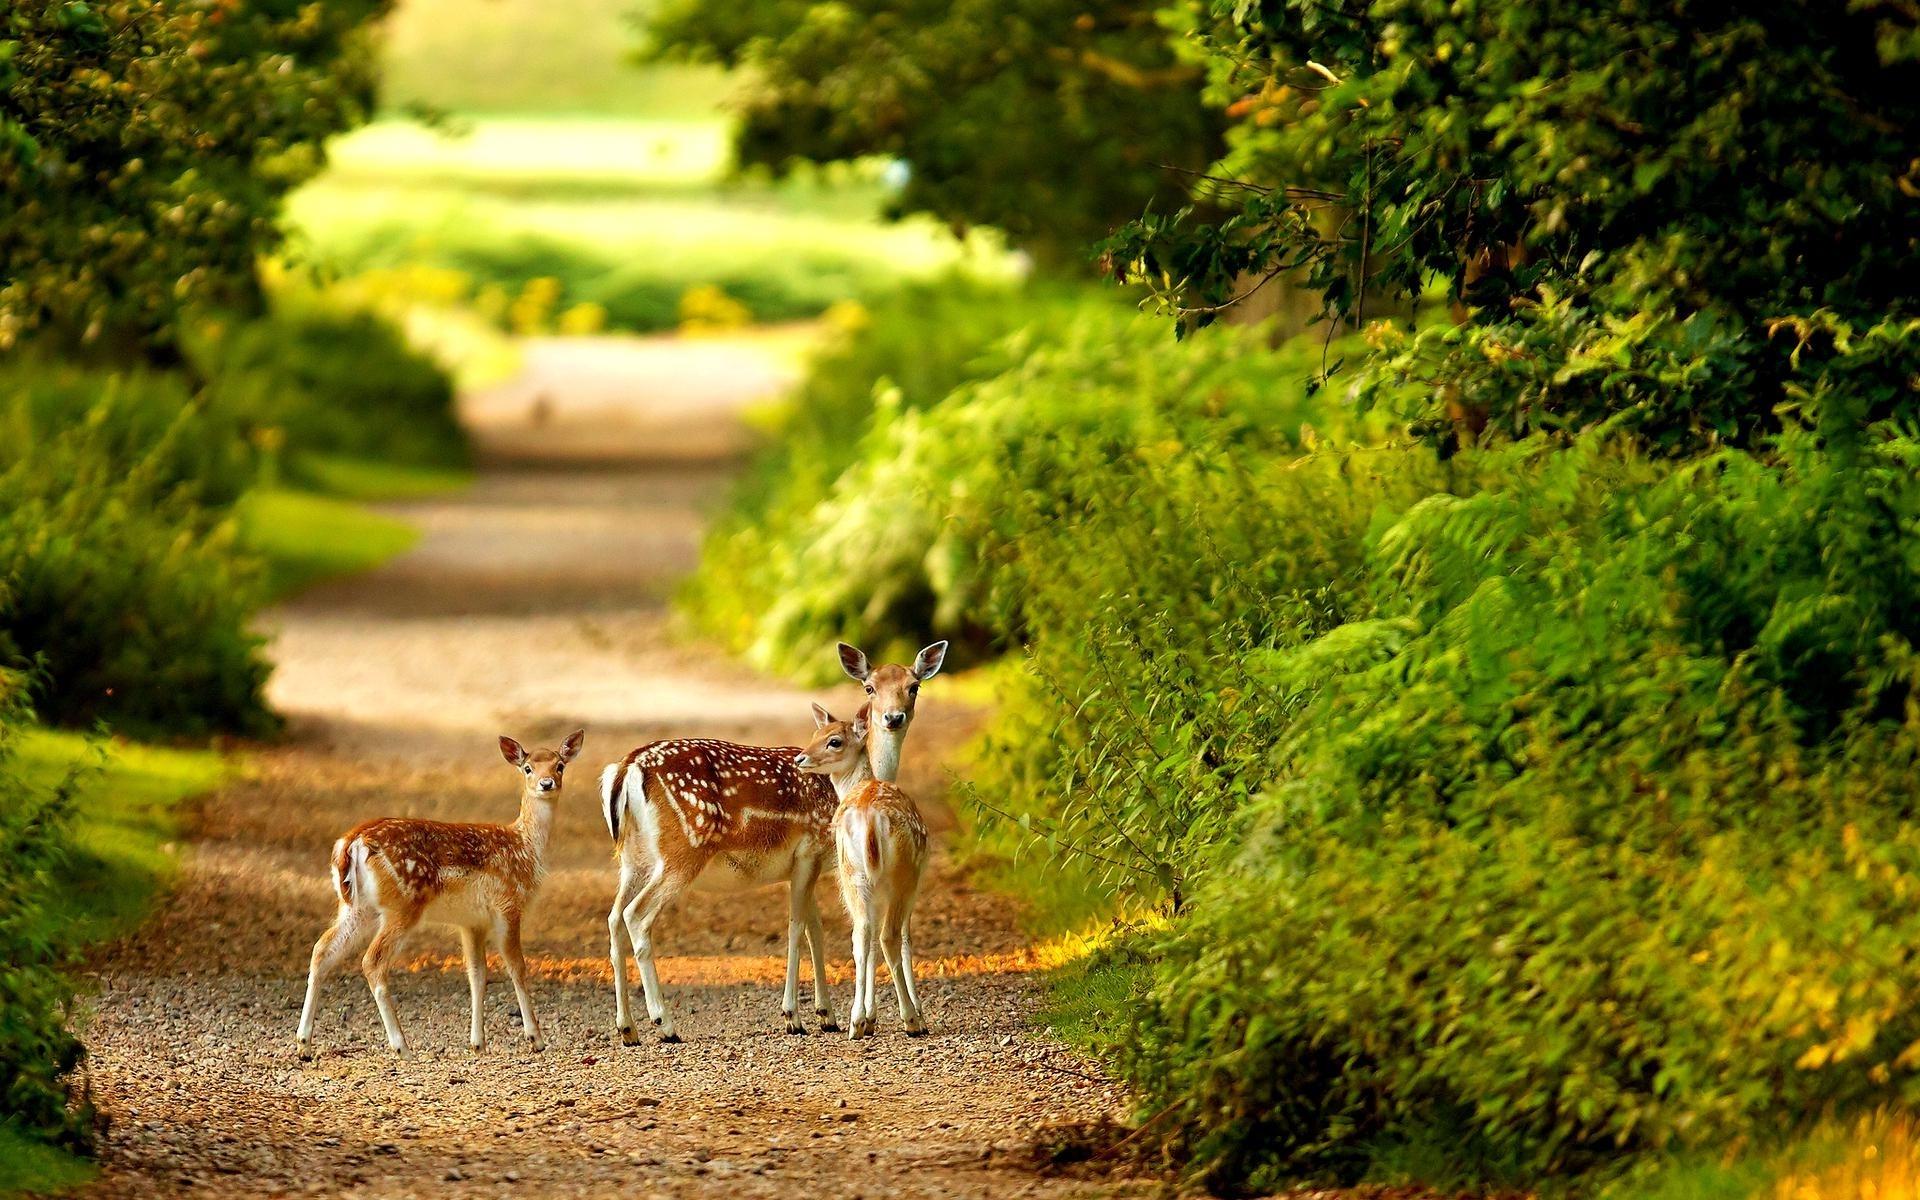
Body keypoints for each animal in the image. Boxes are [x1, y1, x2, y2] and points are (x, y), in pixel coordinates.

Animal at [296, 730, 584, 1059]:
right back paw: (402, 1046)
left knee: (322, 949)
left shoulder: (472, 921)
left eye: (560, 765)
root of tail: (351, 843)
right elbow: (517, 968)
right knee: (372, 961)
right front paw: (536, 1038)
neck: (525, 847)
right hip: (403, 904)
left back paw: (304, 1043)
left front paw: (478, 1043)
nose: (546, 783)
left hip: (357, 907)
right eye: (527, 768)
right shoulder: (508, 904)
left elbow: (477, 974)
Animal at [797, 703, 930, 1039]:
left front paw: (869, 1018)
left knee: (861, 936)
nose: (800, 758)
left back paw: (856, 1022)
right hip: (901, 875)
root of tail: (870, 819)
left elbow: (865, 943)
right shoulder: (912, 882)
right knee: (888, 936)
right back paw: (911, 1020)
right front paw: (914, 1014)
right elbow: (906, 939)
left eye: (833, 740)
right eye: (815, 734)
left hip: (852, 874)